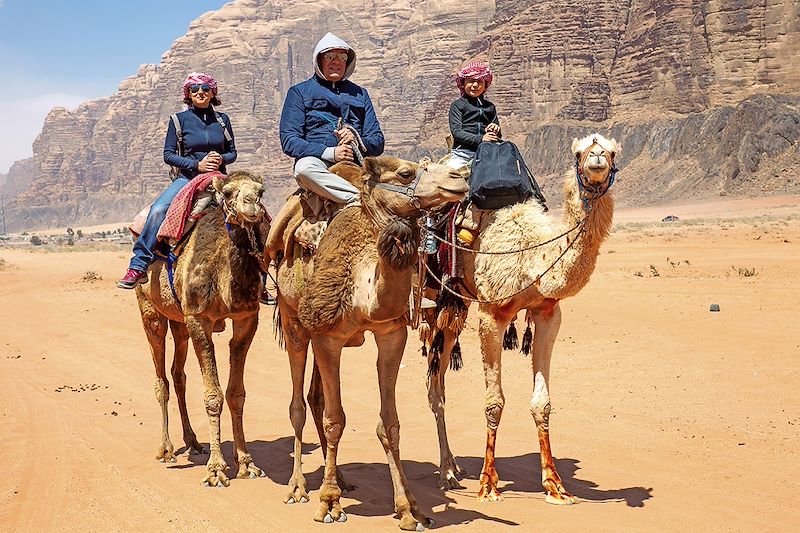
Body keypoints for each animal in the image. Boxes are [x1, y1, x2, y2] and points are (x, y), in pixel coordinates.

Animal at [133, 170, 268, 486]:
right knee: (161, 379)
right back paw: (167, 449)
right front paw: (216, 470)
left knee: (178, 375)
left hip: (179, 321)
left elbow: (236, 393)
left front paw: (246, 463)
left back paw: (193, 441)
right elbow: (213, 396)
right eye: (229, 193)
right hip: (150, 311)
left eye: (261, 191)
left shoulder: (247, 319)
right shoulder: (198, 319)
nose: (252, 204)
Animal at [268, 155, 468, 528]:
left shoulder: (391, 333)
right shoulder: (328, 336)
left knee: (315, 398)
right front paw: (329, 505)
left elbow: (389, 424)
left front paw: (410, 509)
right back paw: (298, 486)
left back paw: (342, 479)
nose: (458, 177)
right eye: (405, 172)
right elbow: (335, 420)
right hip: (294, 319)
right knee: (298, 404)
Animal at [424, 134, 620, 502]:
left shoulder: (548, 313)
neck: (533, 256)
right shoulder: (491, 314)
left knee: (438, 384)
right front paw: (488, 484)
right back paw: (445, 474)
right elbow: (494, 402)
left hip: (456, 309)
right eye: (579, 152)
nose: (597, 158)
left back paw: (453, 467)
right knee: (431, 387)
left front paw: (555, 485)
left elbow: (542, 403)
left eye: (613, 150)